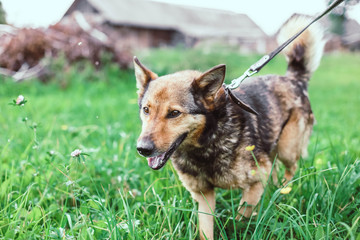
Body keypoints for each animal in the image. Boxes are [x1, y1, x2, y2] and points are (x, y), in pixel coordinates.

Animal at [134, 15, 324, 240]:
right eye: (146, 110)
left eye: (174, 113)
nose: (142, 149)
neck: (207, 142)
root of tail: (294, 79)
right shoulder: (203, 195)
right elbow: (206, 230)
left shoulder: (255, 181)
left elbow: (240, 219)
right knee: (276, 170)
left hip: (287, 148)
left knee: (290, 169)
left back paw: (283, 194)